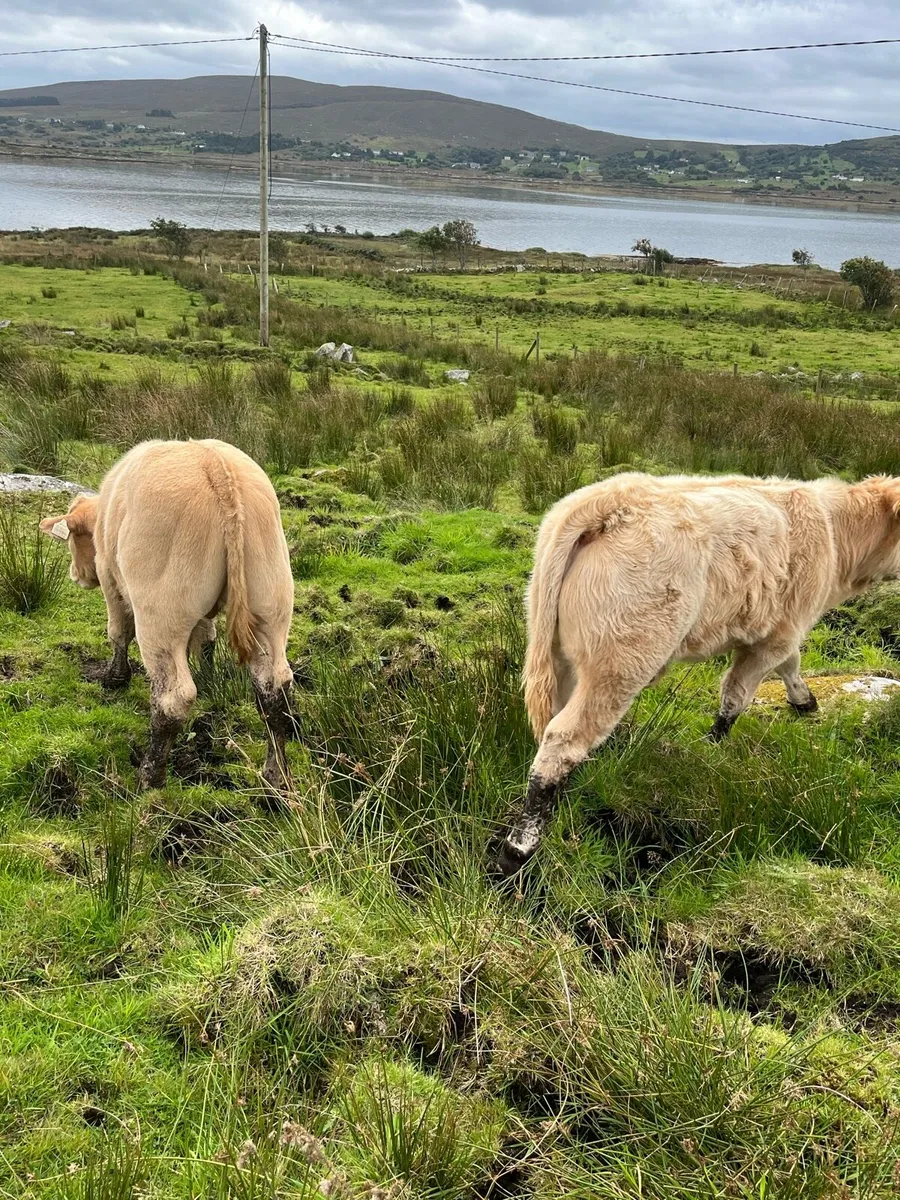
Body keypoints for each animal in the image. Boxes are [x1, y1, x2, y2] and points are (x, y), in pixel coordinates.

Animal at [40, 438, 295, 792]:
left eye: (75, 542)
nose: (76, 576)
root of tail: (217, 467)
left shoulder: (110, 580)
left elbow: (118, 632)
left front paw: (114, 678)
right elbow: (206, 635)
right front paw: (207, 670)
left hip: (160, 612)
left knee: (173, 698)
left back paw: (150, 776)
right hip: (270, 604)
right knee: (274, 689)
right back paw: (274, 778)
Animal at [497, 471, 900, 875]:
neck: (836, 532)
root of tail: (614, 497)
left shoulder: (779, 633)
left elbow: (791, 665)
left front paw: (805, 701)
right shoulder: (779, 632)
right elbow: (738, 694)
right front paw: (715, 745)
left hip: (558, 651)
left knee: (554, 723)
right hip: (619, 664)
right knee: (564, 738)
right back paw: (519, 847)